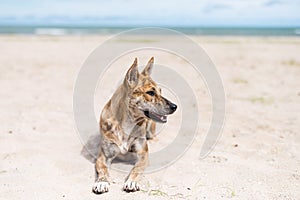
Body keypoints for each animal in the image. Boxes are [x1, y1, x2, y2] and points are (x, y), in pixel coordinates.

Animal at [92, 57, 177, 194]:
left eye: (160, 91)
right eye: (150, 93)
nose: (175, 106)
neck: (126, 123)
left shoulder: (142, 154)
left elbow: (136, 169)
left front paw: (131, 181)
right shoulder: (103, 156)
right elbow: (103, 169)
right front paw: (102, 182)